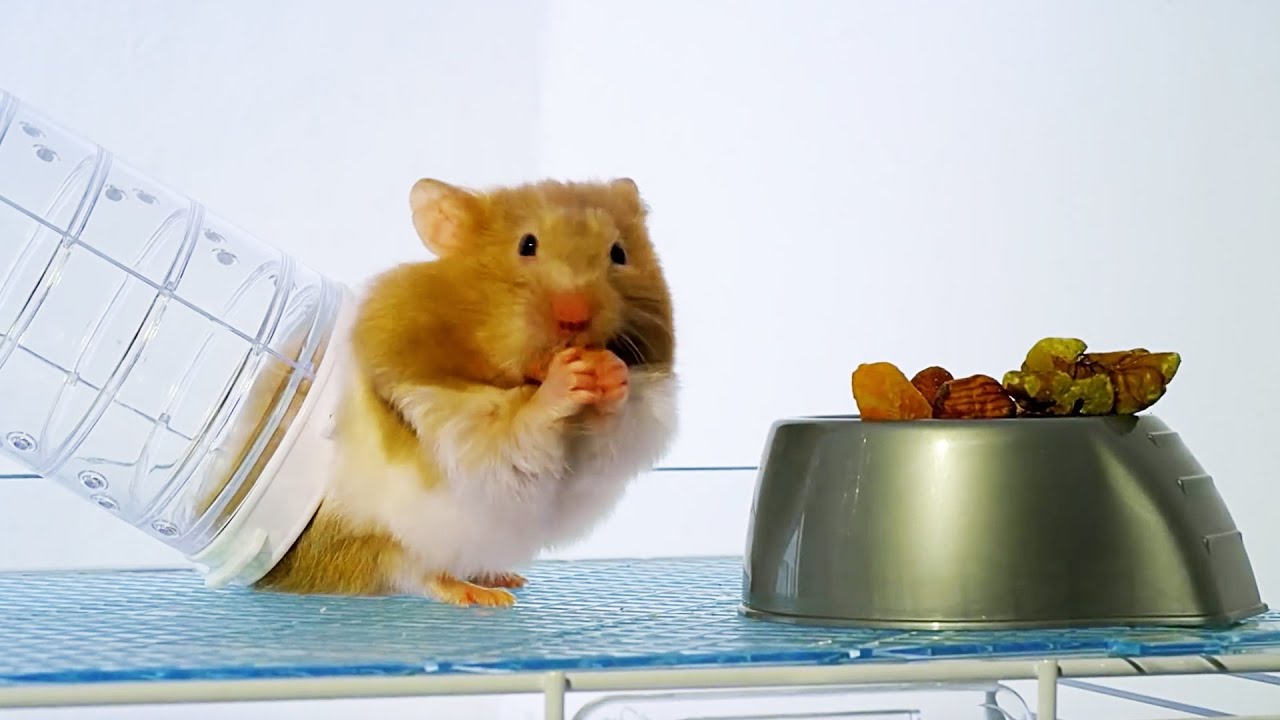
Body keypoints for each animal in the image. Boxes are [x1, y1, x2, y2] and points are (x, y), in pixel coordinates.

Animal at [251, 177, 678, 606]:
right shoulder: (451, 421)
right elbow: (514, 425)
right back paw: (486, 597)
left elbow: (617, 427)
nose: (575, 318)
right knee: (418, 573)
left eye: (619, 253)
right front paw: (566, 377)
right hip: (387, 536)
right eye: (527, 245)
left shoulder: (615, 448)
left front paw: (610, 372)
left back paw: (507, 578)